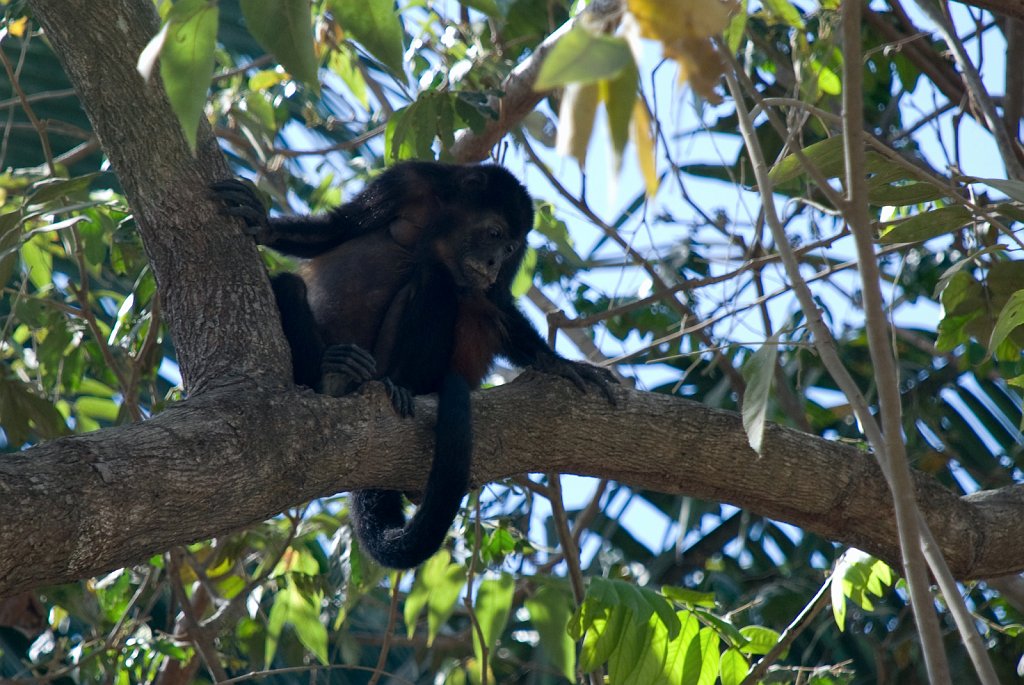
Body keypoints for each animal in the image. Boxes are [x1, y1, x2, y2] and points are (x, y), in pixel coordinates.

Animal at [213, 161, 617, 569]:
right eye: (495, 233)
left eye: (508, 249)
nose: (493, 262)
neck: (445, 226)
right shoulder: (405, 180)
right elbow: (338, 228)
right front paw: (264, 224)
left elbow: (495, 301)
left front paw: (557, 363)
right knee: (290, 285)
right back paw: (331, 372)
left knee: (434, 281)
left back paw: (387, 384)